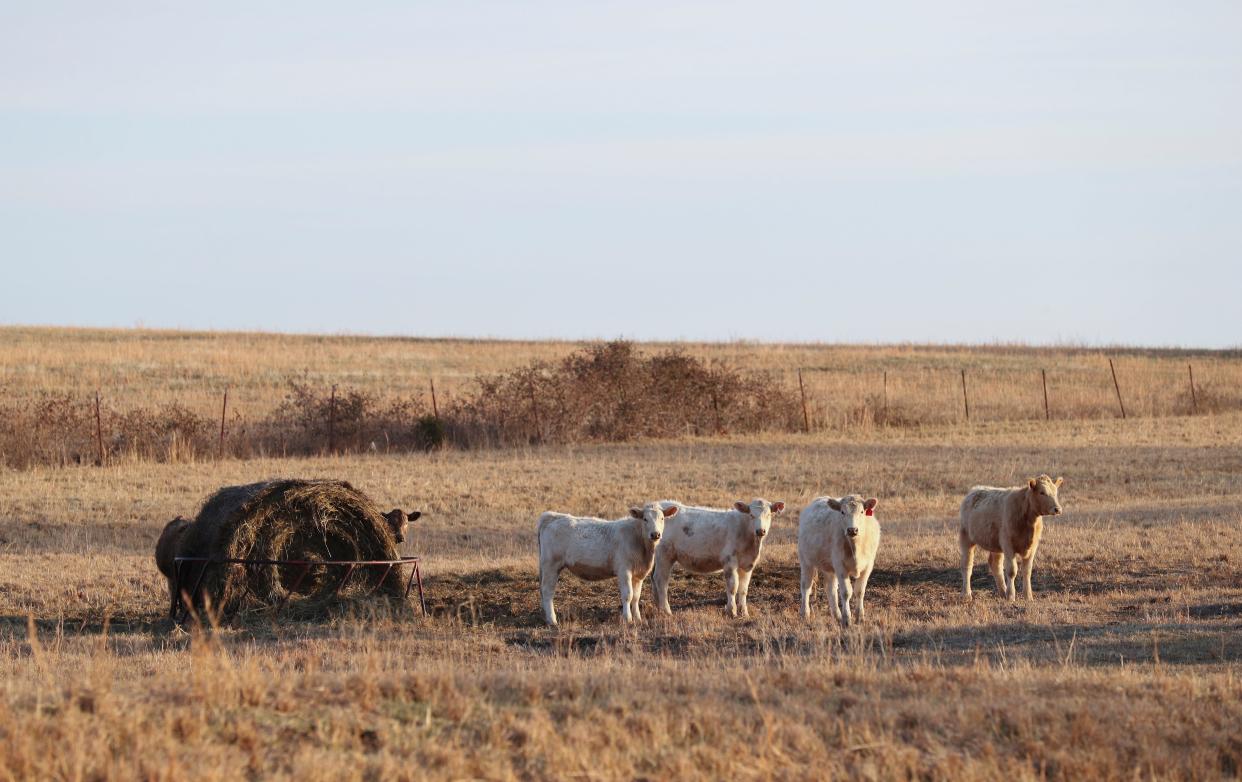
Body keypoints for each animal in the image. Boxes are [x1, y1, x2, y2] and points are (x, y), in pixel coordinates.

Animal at [534, 506, 670, 628]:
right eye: (645, 519)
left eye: (662, 518)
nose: (655, 534)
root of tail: (552, 516)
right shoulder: (624, 570)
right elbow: (628, 595)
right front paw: (628, 619)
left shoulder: (638, 574)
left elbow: (636, 597)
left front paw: (638, 618)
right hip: (551, 565)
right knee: (547, 591)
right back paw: (552, 620)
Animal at [794, 496, 884, 630]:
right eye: (842, 512)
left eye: (862, 511)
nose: (852, 530)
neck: (855, 547)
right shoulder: (840, 566)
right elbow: (846, 592)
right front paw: (847, 620)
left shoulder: (868, 566)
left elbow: (860, 591)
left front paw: (860, 618)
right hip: (806, 561)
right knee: (806, 586)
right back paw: (805, 614)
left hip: (829, 568)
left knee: (830, 589)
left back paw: (837, 616)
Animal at [958, 474, 1068, 603]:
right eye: (1042, 492)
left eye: (1056, 492)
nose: (1057, 509)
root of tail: (974, 490)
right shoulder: (1008, 544)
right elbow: (1011, 570)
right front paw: (1011, 596)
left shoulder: (1032, 547)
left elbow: (1027, 571)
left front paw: (1028, 596)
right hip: (966, 537)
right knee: (967, 564)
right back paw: (967, 594)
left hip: (995, 544)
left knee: (995, 564)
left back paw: (1002, 592)